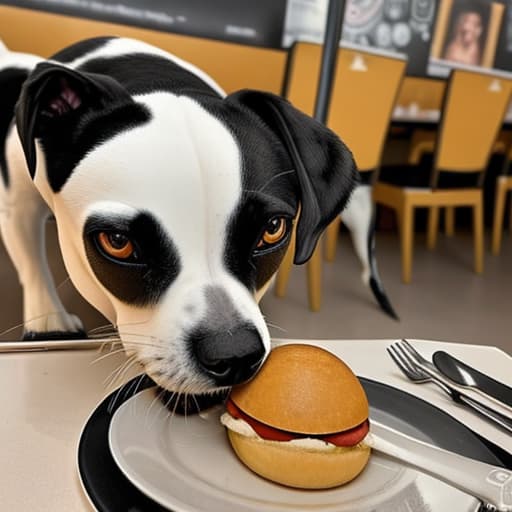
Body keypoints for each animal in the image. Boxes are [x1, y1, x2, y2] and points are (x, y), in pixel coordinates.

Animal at [0, 36, 358, 396]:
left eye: (272, 230)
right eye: (118, 242)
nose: (233, 353)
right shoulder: (18, 201)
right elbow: (32, 260)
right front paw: (48, 323)